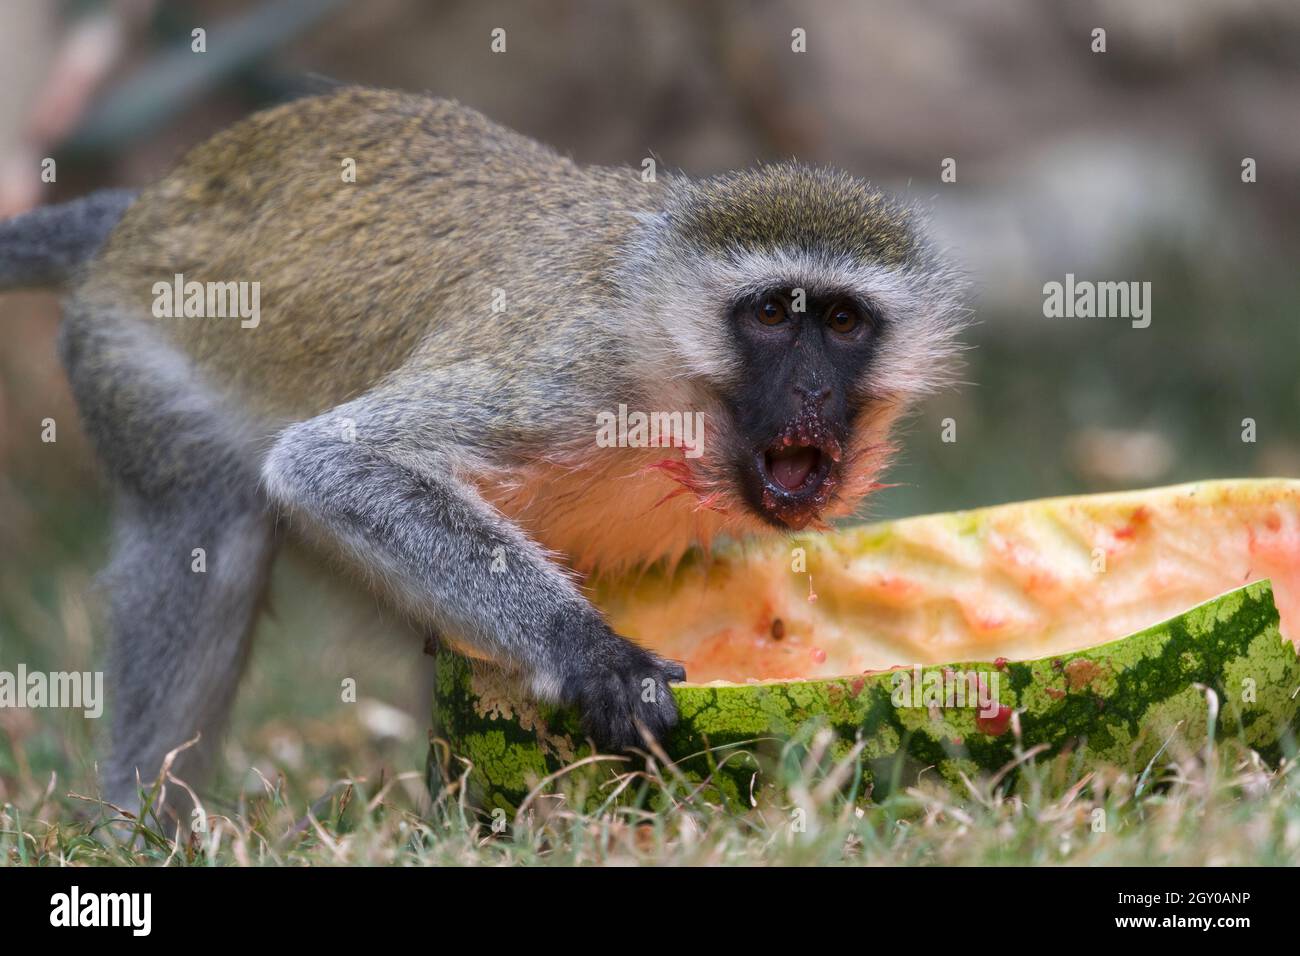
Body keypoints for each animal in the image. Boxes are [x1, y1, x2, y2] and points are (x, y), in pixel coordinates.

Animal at [0, 89, 961, 816]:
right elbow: (332, 465)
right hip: (134, 360)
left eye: (841, 322)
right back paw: (134, 825)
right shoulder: (570, 375)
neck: (669, 371)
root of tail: (147, 208)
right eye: (770, 314)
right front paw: (594, 655)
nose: (811, 393)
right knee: (207, 532)